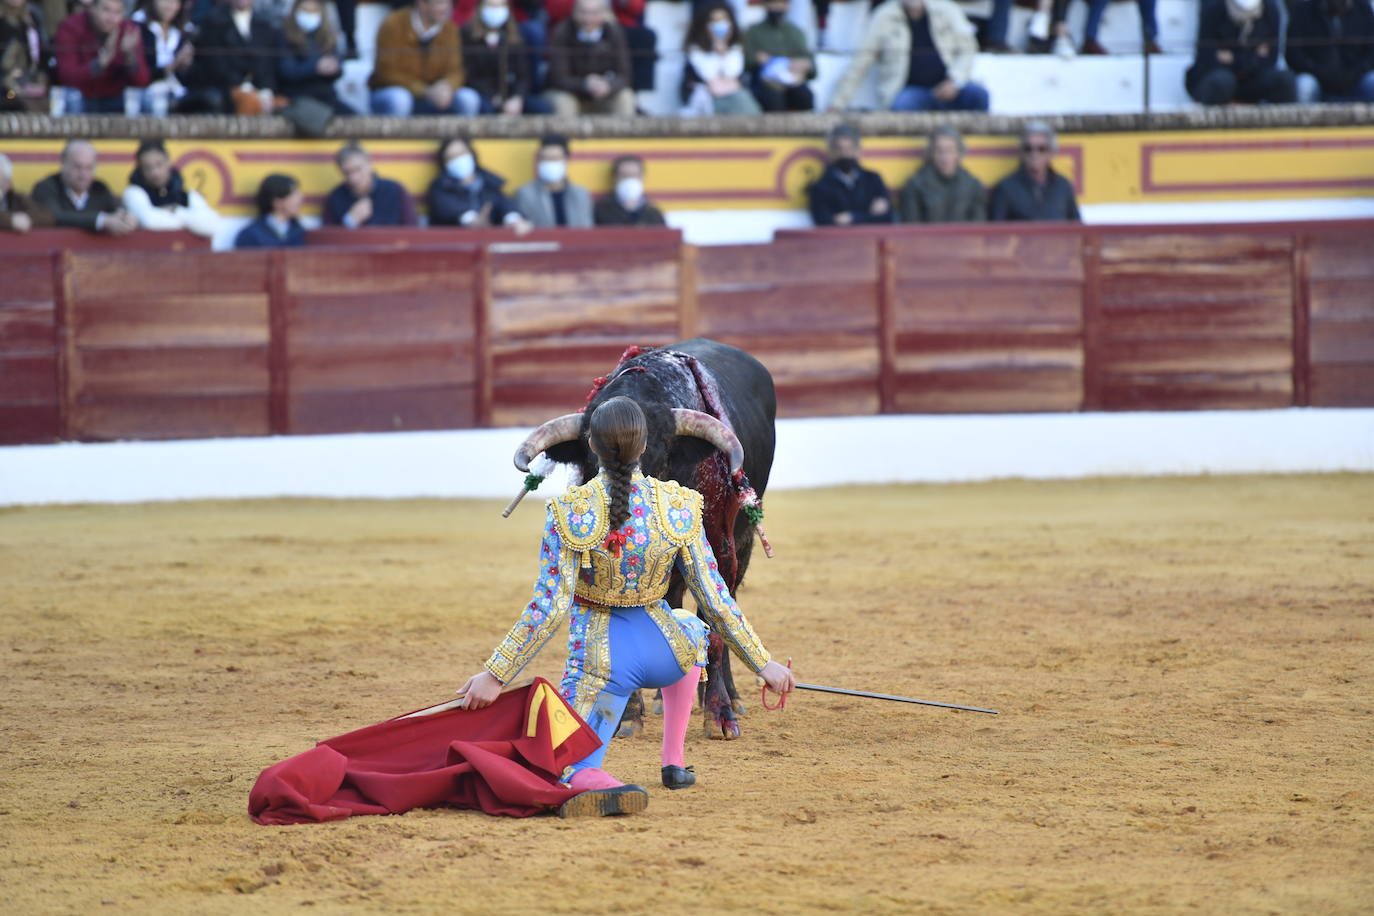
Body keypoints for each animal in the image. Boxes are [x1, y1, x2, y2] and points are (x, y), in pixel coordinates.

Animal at [516, 340, 774, 741]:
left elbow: (718, 622)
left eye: (654, 452)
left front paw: (719, 715)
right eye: (592, 454)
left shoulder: (718, 548)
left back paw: (728, 696)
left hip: (742, 544)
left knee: (726, 605)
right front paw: (627, 715)